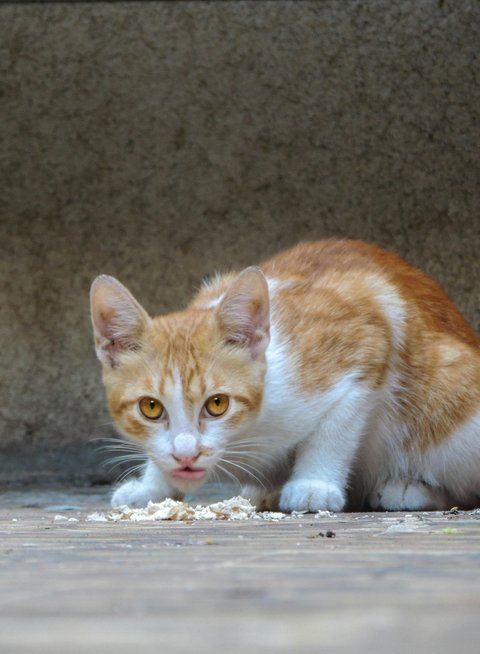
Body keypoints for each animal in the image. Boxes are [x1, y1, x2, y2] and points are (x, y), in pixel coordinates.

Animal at [90, 240, 480, 512]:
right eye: (151, 408)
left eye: (217, 404)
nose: (186, 455)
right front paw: (152, 485)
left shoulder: (370, 336)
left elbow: (335, 428)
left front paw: (314, 483)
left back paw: (409, 488)